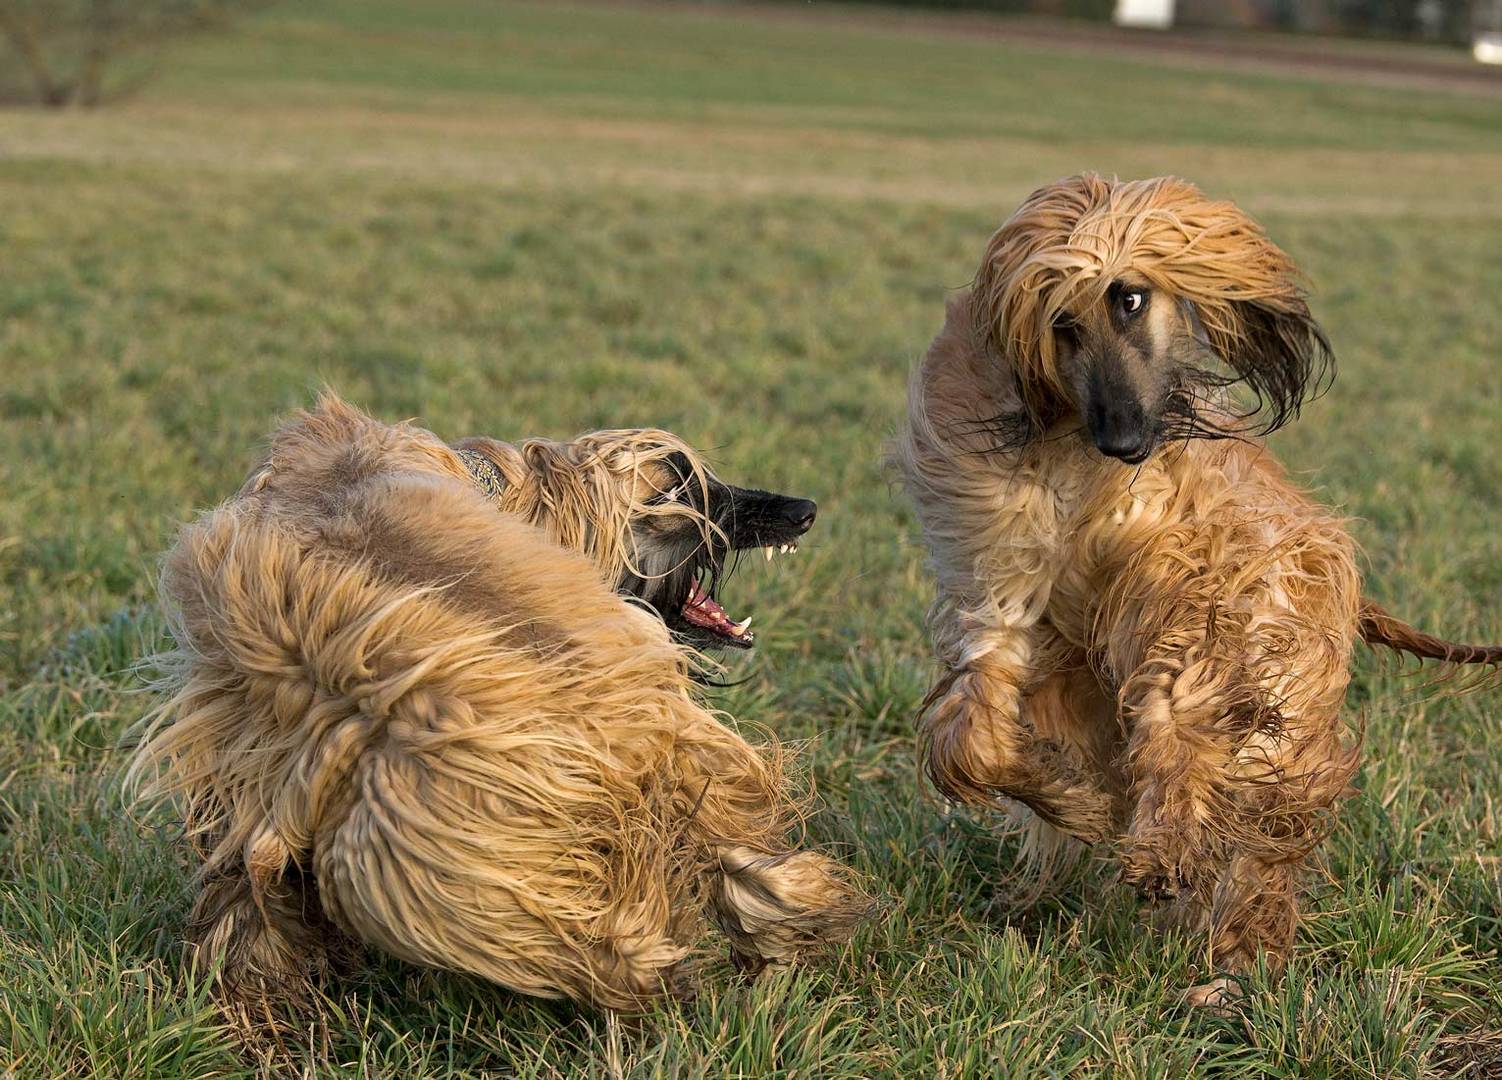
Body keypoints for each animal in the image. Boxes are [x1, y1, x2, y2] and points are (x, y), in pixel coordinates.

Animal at [895, 171, 1495, 1003]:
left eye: (1129, 298)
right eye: (1061, 325)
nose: (1124, 439)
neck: (1069, 452)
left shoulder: (1189, 576)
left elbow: (1174, 704)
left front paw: (1151, 835)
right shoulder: (998, 583)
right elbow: (973, 739)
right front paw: (1076, 799)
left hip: (1278, 686)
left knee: (1264, 825)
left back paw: (1234, 950)